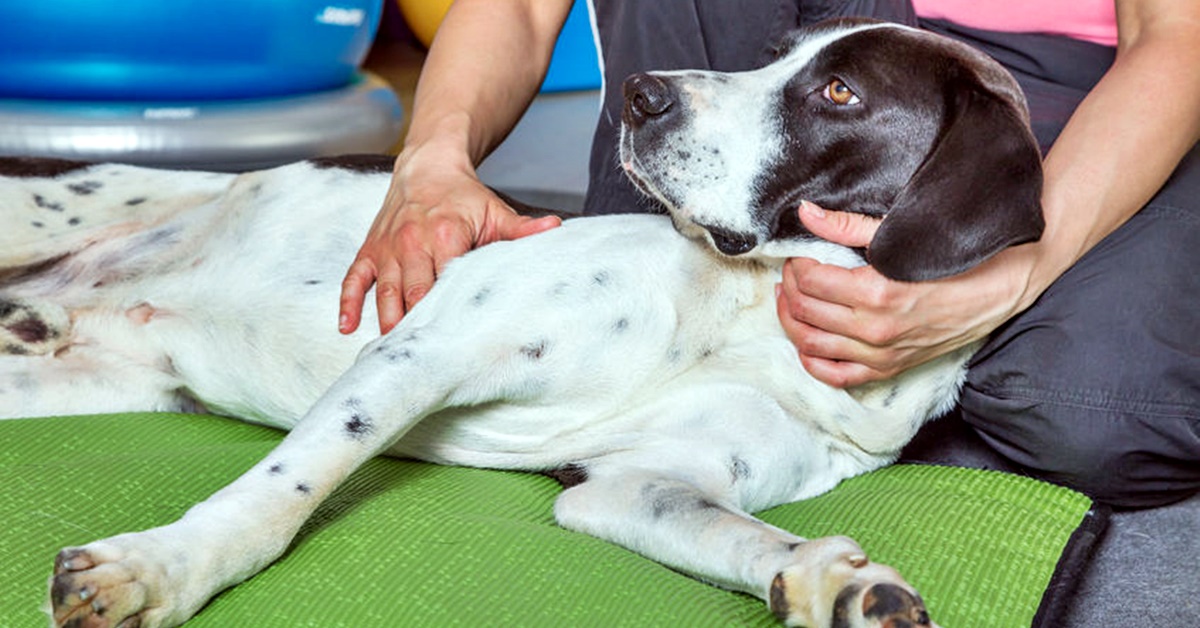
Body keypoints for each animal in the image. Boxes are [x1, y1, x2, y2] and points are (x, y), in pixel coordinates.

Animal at [0, 17, 1046, 628]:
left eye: (839, 92)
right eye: (773, 59)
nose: (641, 93)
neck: (752, 312)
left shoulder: (634, 487)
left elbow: (752, 539)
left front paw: (842, 586)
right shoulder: (425, 350)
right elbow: (280, 494)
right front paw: (162, 570)